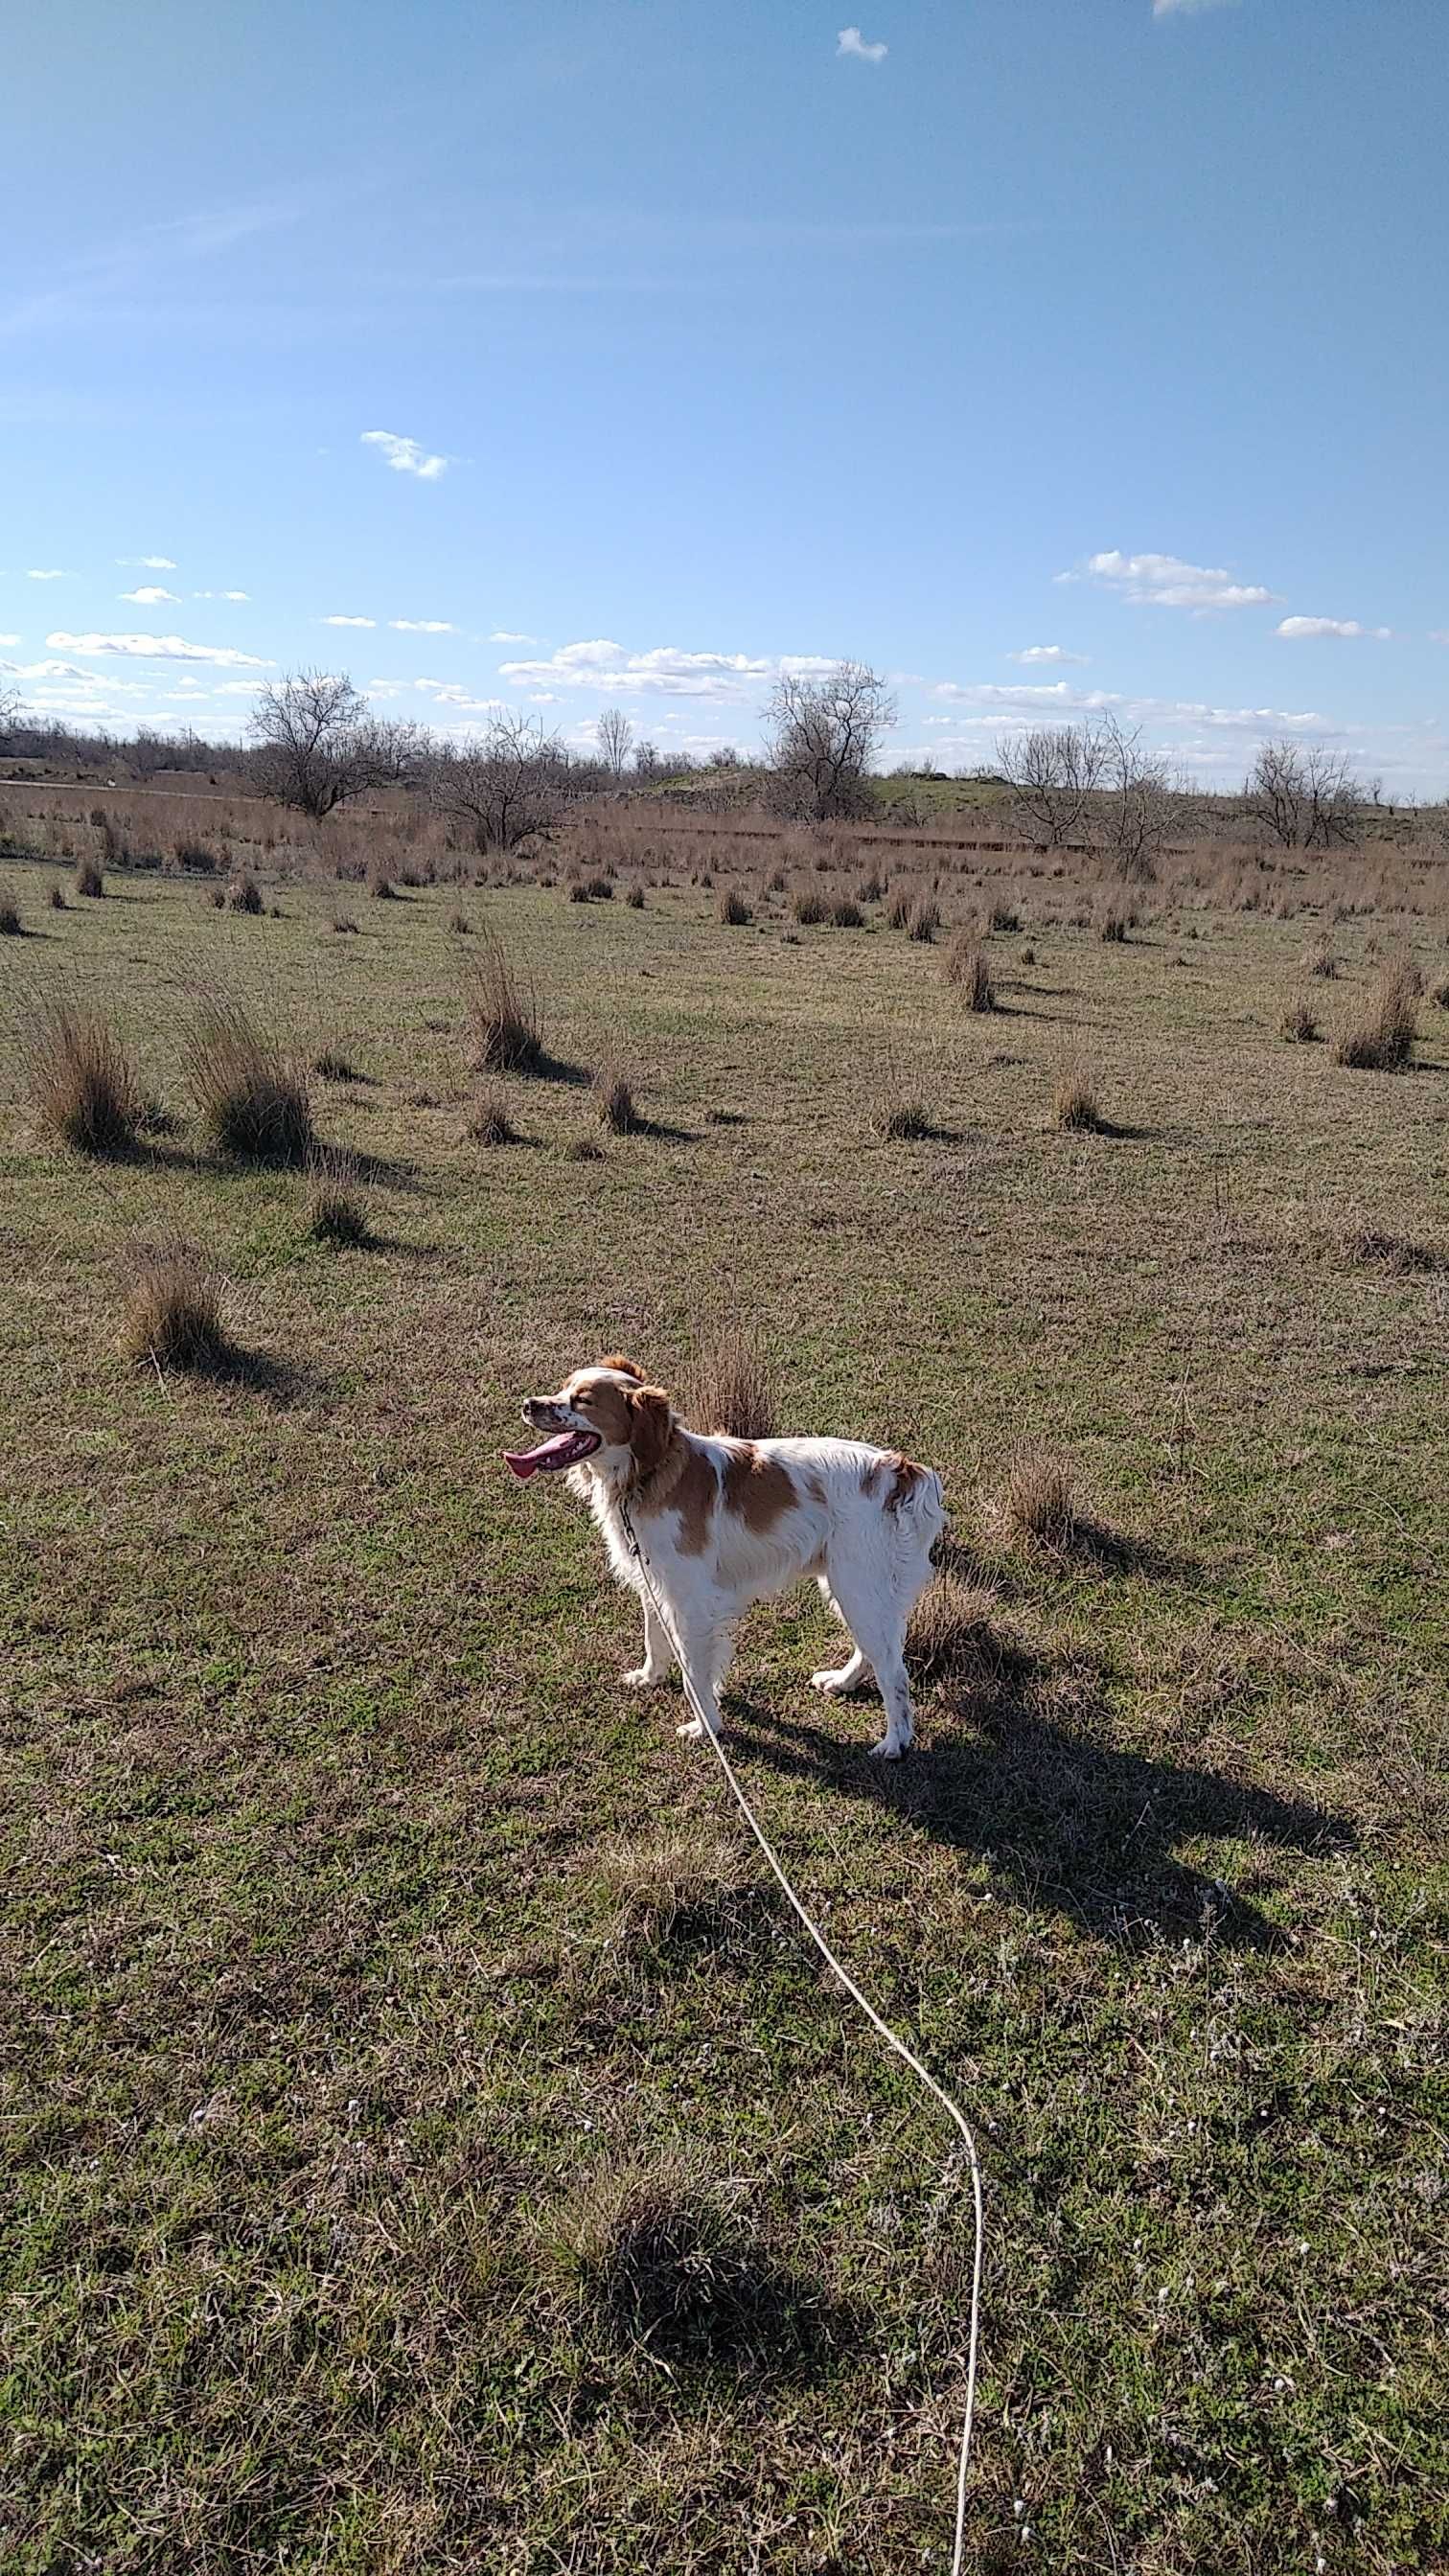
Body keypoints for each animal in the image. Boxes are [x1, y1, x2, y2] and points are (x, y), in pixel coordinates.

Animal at [502, 1360, 943, 1761]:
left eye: (583, 1400)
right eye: (565, 1388)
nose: (528, 1404)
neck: (648, 1473)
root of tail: (898, 1469)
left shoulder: (694, 1604)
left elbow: (695, 1675)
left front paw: (705, 1727)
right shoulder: (655, 1585)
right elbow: (654, 1640)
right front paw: (649, 1678)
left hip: (858, 1587)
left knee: (894, 1673)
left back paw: (893, 1743)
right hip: (850, 1587)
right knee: (873, 1652)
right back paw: (842, 1682)